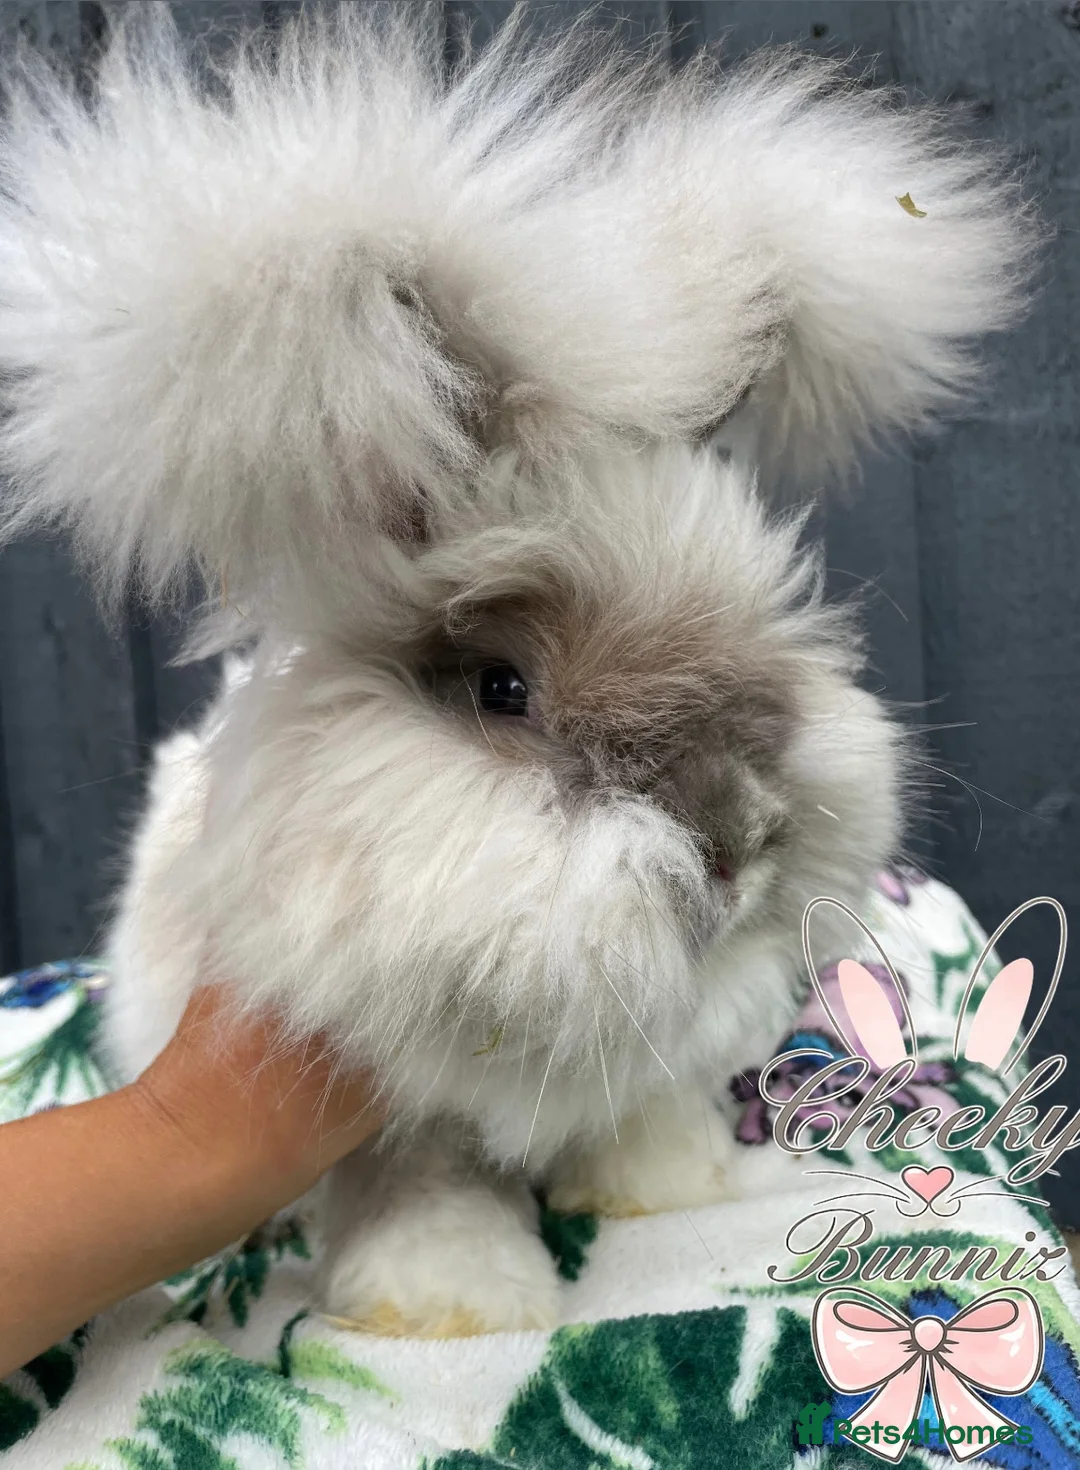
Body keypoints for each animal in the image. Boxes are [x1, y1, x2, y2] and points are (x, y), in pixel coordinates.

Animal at [0, 3, 1040, 1335]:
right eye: (502, 689)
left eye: (769, 617)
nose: (739, 841)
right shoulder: (390, 1110)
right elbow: (429, 1193)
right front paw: (454, 1305)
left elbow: (646, 1121)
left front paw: (671, 1191)